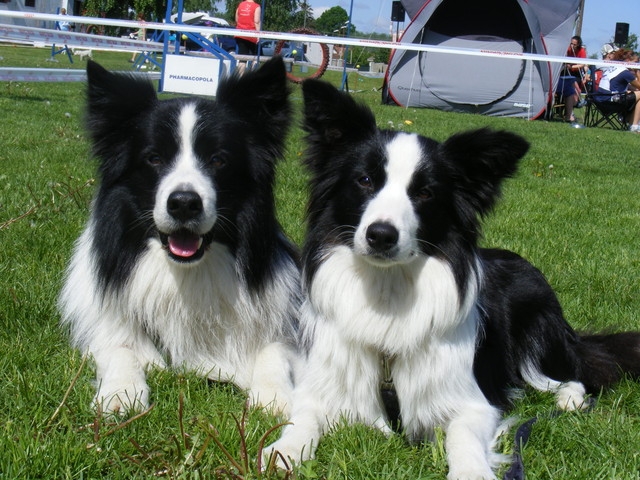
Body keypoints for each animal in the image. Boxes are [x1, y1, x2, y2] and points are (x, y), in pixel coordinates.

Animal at [59, 57, 301, 416]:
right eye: (154, 158)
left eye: (218, 160)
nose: (184, 204)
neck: (185, 274)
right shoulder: (106, 326)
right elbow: (119, 346)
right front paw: (121, 391)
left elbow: (274, 350)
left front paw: (275, 396)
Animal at [264, 79, 640, 479]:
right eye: (364, 181)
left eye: (425, 192)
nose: (381, 235)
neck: (387, 291)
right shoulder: (325, 383)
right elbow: (303, 417)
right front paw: (284, 449)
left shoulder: (473, 402)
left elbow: (462, 434)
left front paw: (471, 471)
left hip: (538, 330)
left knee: (578, 372)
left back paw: (569, 397)